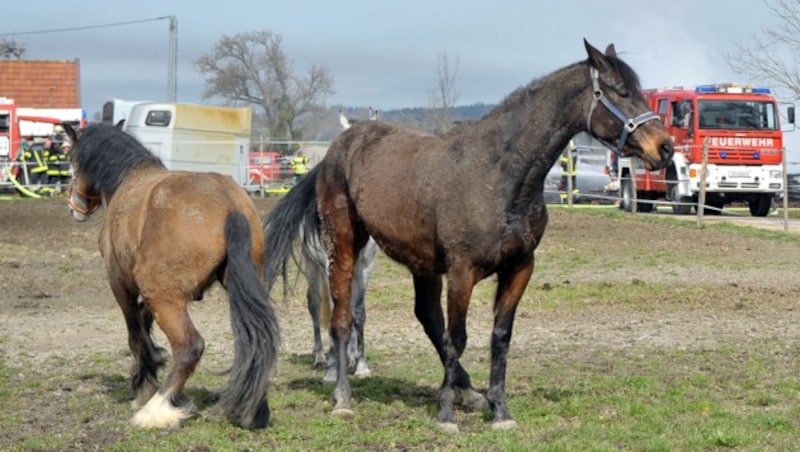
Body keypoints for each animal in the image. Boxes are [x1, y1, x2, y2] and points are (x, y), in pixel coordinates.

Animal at [63, 122, 282, 430]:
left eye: (71, 159)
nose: (75, 207)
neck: (129, 180)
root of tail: (230, 204)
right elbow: (144, 322)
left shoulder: (121, 283)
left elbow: (136, 336)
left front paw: (144, 386)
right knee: (259, 341)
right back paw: (254, 409)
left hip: (164, 297)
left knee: (190, 346)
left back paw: (157, 409)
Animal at [264, 40, 676, 432]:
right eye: (620, 91)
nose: (665, 148)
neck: (499, 174)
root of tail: (338, 148)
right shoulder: (462, 273)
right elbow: (457, 338)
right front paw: (446, 415)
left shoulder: (519, 268)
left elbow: (499, 336)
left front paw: (499, 409)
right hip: (345, 246)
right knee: (341, 317)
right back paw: (343, 397)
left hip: (422, 263)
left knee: (426, 316)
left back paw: (469, 392)